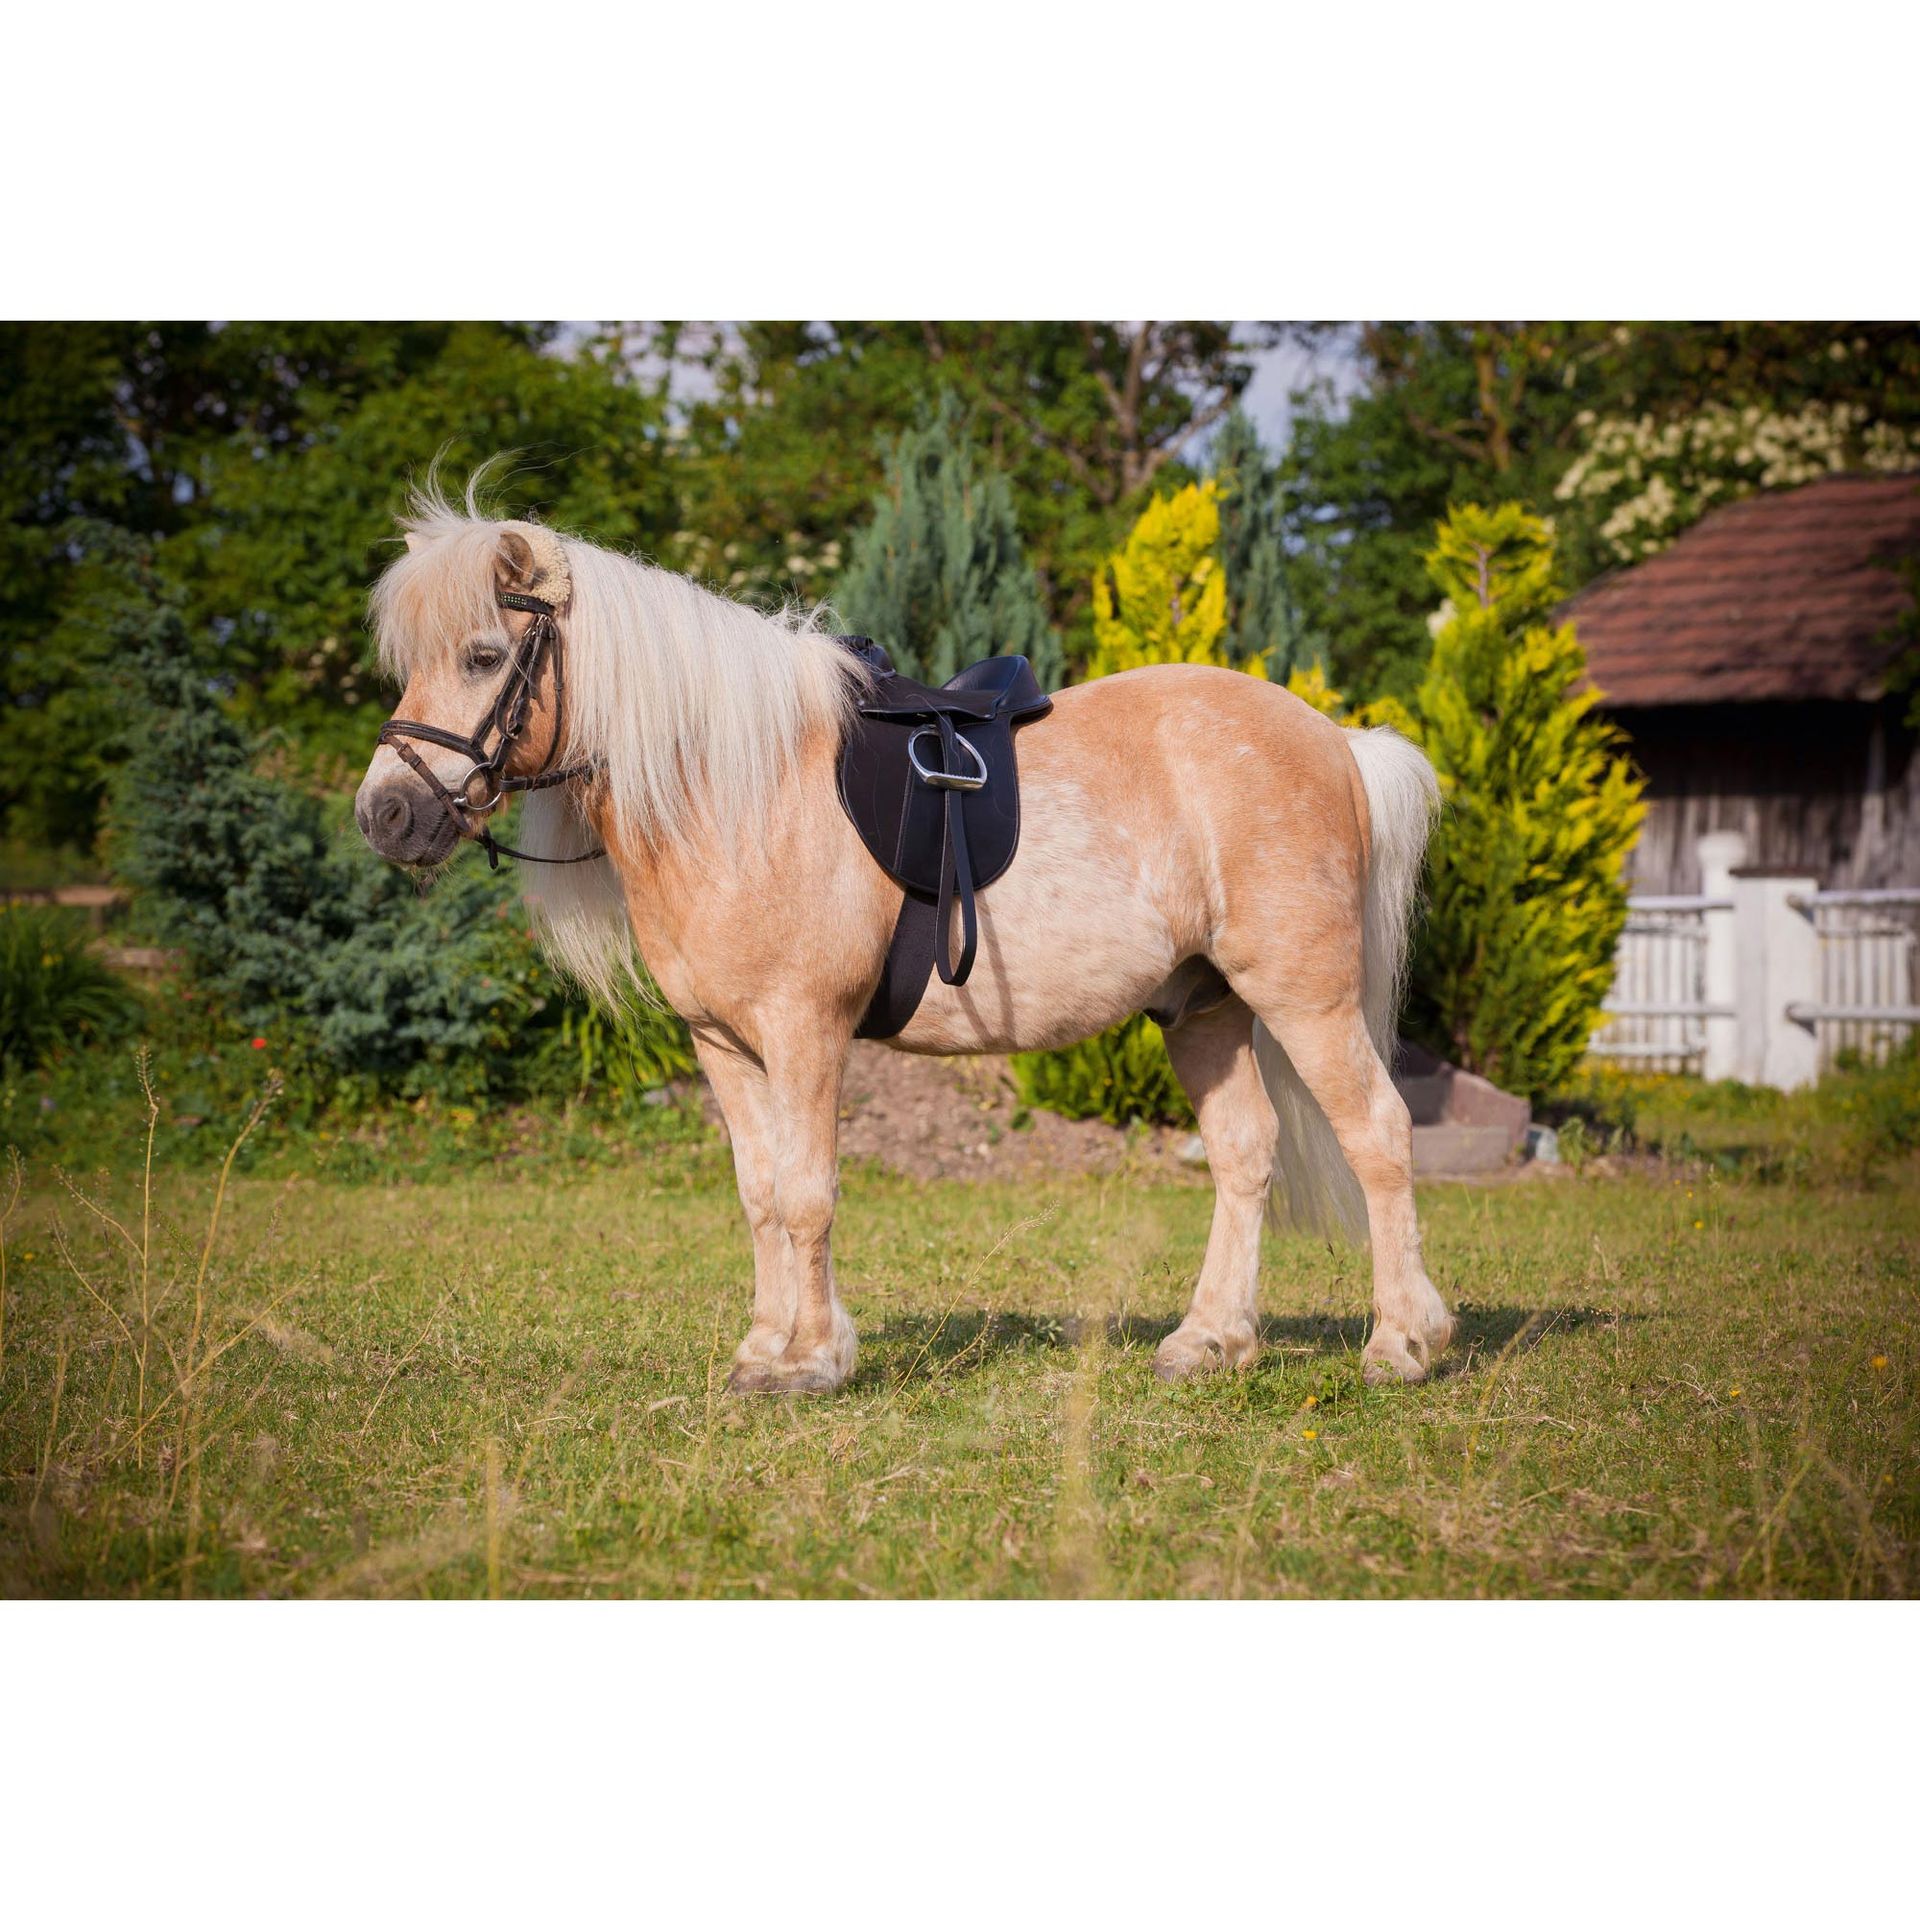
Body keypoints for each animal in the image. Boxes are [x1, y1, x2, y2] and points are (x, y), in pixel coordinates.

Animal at [355, 485, 1454, 1395]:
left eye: (484, 656)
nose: (387, 816)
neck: (738, 787)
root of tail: (1336, 741)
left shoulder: (805, 1031)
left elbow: (807, 1193)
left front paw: (809, 1363)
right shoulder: (723, 1044)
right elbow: (760, 1193)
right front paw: (767, 1348)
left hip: (1303, 997)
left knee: (1379, 1133)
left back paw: (1401, 1343)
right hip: (1203, 1007)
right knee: (1244, 1154)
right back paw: (1210, 1341)